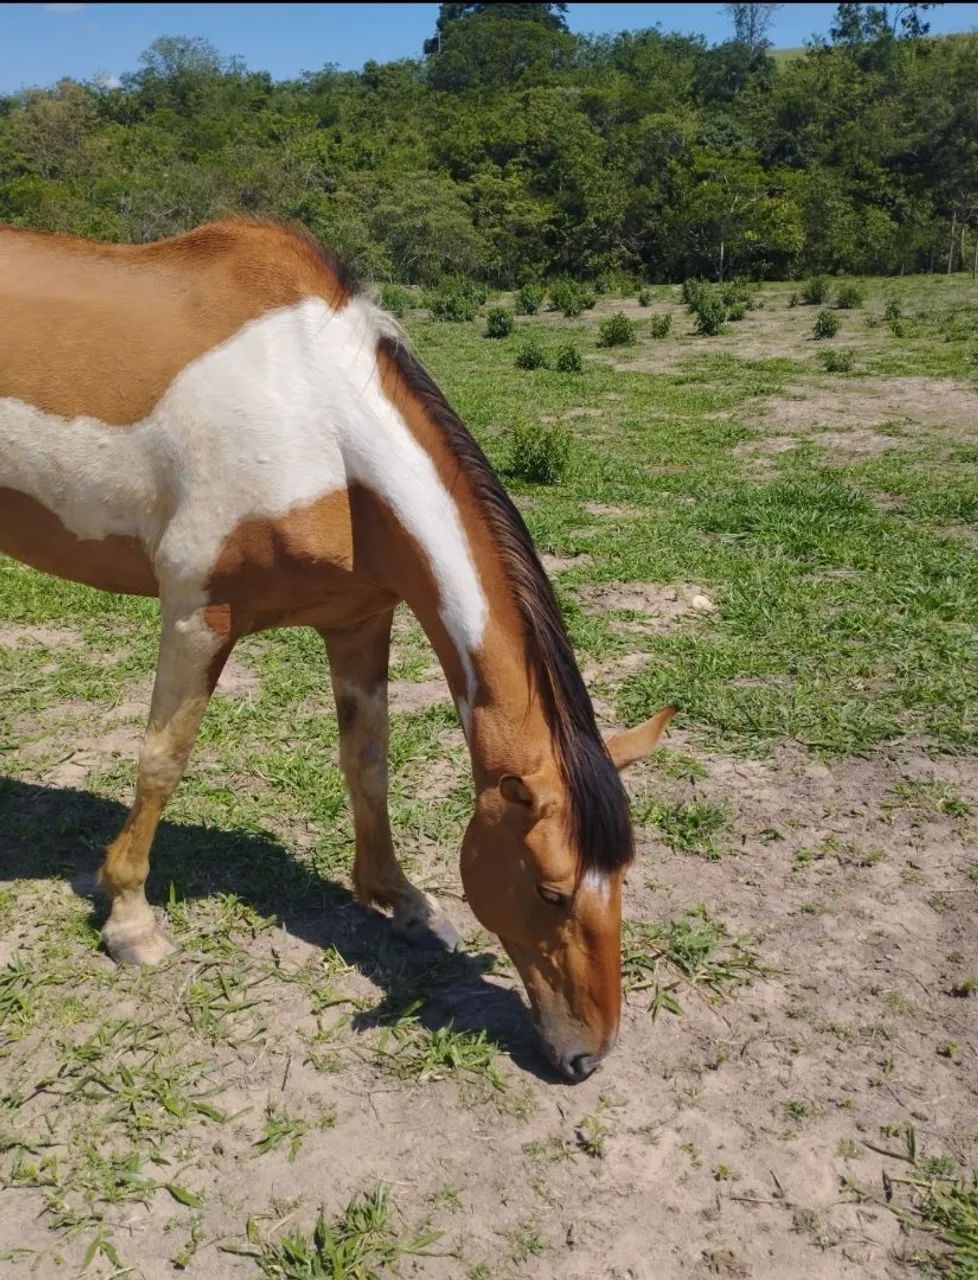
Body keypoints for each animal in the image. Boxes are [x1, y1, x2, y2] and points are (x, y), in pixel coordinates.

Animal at [0, 218, 674, 1081]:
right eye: (552, 890)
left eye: (620, 874)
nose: (587, 1055)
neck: (317, 421)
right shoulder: (197, 616)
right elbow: (161, 762)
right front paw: (129, 919)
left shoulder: (359, 621)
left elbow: (367, 760)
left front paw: (400, 900)